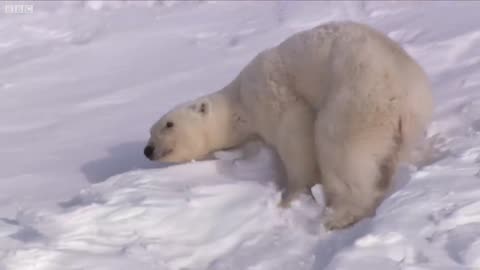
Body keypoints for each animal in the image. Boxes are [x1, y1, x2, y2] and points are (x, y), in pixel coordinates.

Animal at [144, 22, 434, 231]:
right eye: (150, 130)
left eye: (167, 124)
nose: (147, 150)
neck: (239, 100)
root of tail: (408, 97)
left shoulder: (270, 95)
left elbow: (296, 134)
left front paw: (289, 196)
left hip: (358, 101)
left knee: (338, 146)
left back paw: (339, 215)